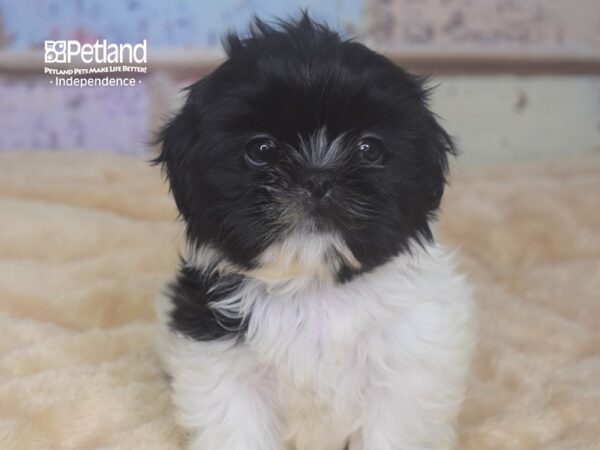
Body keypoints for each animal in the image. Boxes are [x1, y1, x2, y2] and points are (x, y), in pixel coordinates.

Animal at [155, 13, 474, 450]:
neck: (314, 288)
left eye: (369, 149)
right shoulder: (222, 364)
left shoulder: (407, 369)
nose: (317, 177)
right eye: (261, 150)